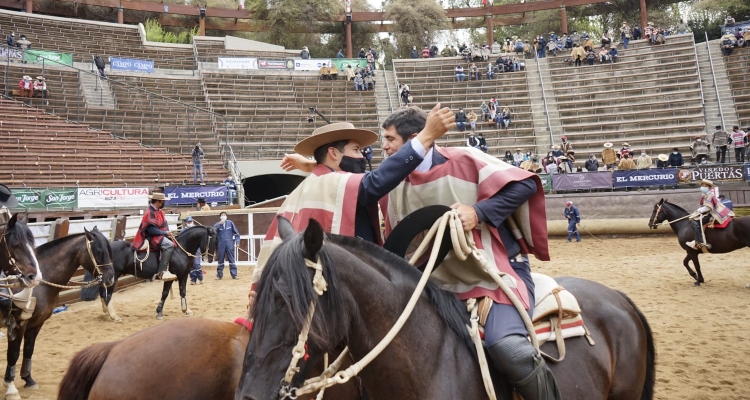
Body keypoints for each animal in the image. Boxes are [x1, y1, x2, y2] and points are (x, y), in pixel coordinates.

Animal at [1, 228, 114, 400]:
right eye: (99, 251)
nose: (110, 278)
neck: (40, 283)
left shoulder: (36, 323)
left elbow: (28, 349)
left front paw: (28, 379)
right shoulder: (19, 324)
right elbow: (13, 353)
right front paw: (10, 387)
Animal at [83, 227, 217, 320]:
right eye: (212, 241)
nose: (211, 258)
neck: (180, 250)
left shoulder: (183, 276)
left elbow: (183, 292)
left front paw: (186, 310)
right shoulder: (169, 278)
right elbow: (165, 294)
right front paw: (159, 312)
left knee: (102, 291)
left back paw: (106, 313)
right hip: (113, 277)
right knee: (107, 294)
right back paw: (113, 316)